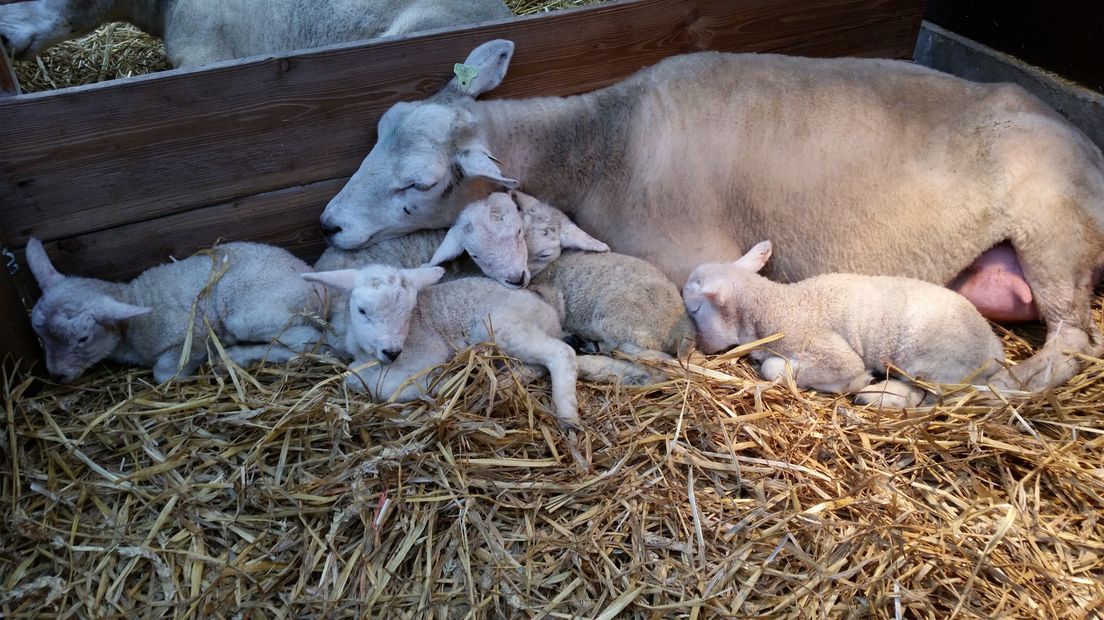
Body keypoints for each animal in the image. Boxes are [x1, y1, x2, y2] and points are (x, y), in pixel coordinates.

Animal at [317, 39, 1104, 386]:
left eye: (419, 183)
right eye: (378, 130)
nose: (329, 224)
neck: (601, 142)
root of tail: (1083, 139)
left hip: (1055, 232)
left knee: (1072, 340)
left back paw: (1017, 384)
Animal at [680, 237, 1011, 405]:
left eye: (694, 310)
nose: (700, 347)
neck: (778, 302)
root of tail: (994, 349)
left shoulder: (831, 353)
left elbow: (773, 367)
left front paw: (856, 380)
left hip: (930, 362)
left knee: (931, 398)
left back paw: (876, 394)